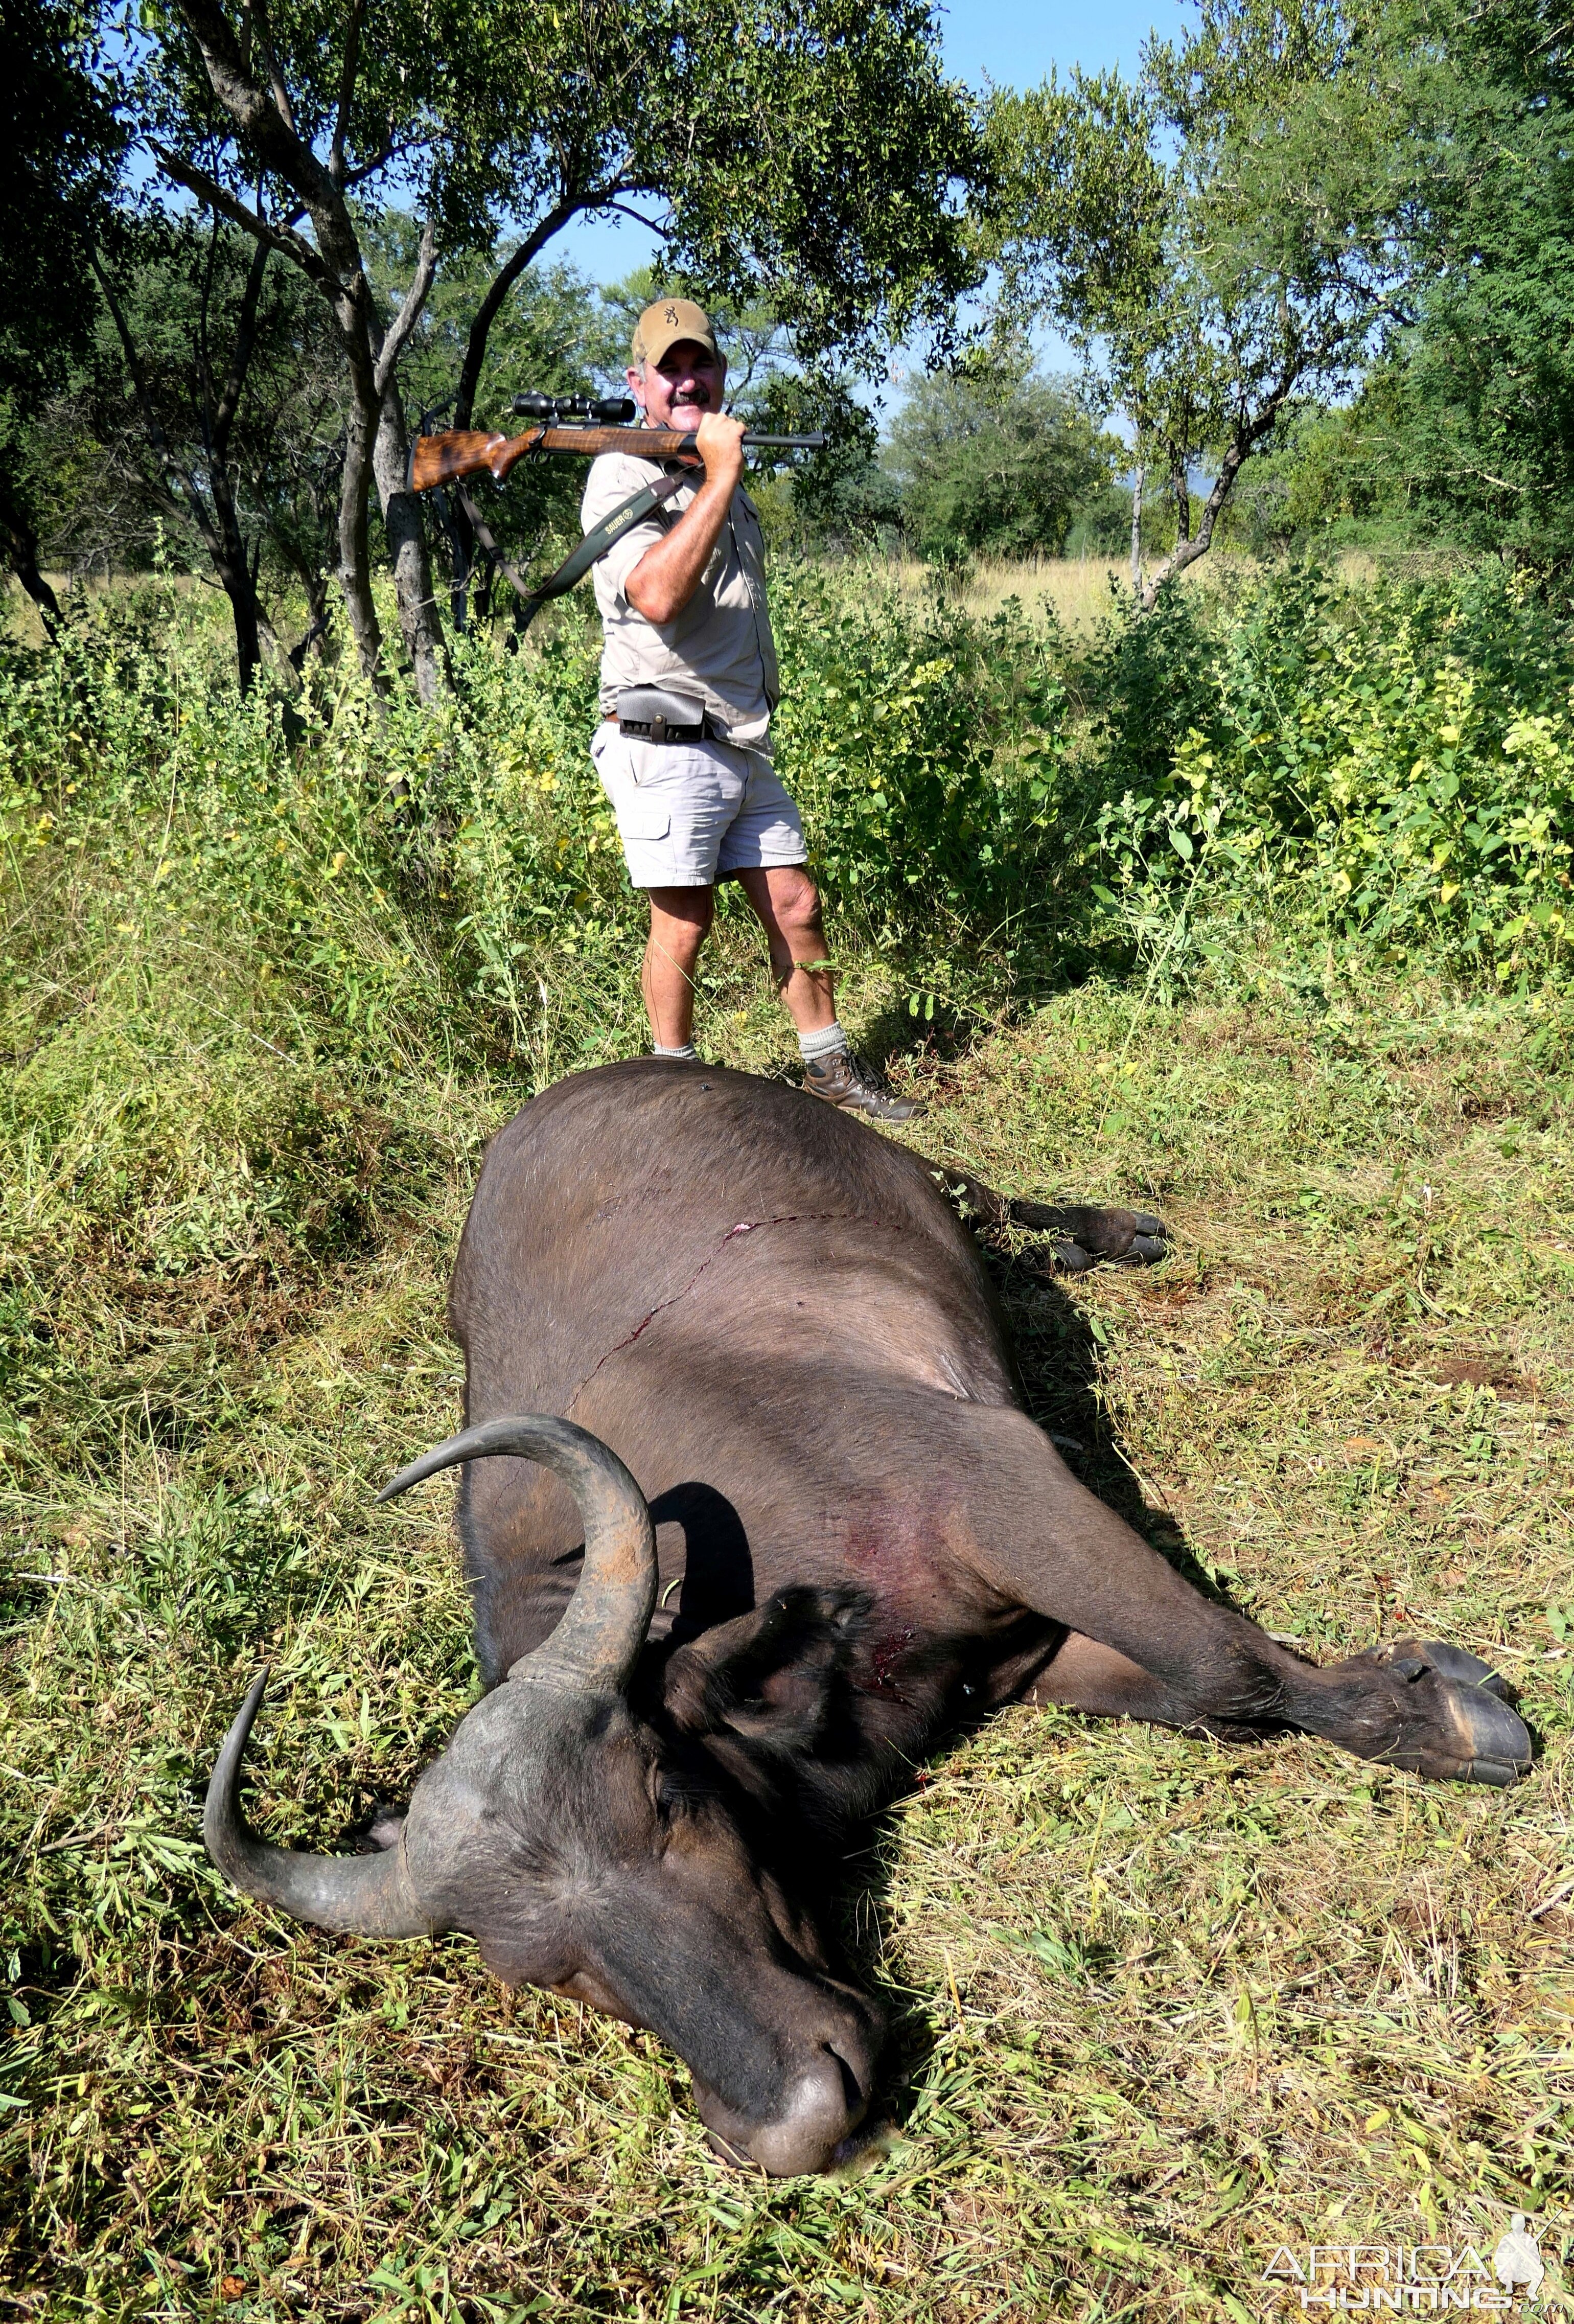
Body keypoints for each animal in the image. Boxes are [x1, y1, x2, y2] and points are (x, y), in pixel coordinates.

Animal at [202, 1055, 1525, 2175]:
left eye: (670, 1799)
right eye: (547, 1971)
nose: (799, 2115)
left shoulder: (1004, 1489)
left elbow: (1222, 1667)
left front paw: (1454, 1717)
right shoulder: (1011, 1650)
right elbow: (1205, 1690)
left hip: (914, 1176)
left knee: (981, 1190)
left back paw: (1107, 1230)